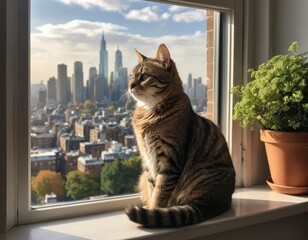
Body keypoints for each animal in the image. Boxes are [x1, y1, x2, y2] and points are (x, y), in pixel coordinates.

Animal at [124, 43, 235, 229]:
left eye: (144, 76)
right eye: (131, 76)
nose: (130, 85)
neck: (149, 112)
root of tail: (208, 205)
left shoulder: (169, 160)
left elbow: (159, 194)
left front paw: (152, 211)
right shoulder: (148, 160)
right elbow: (152, 188)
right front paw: (150, 207)